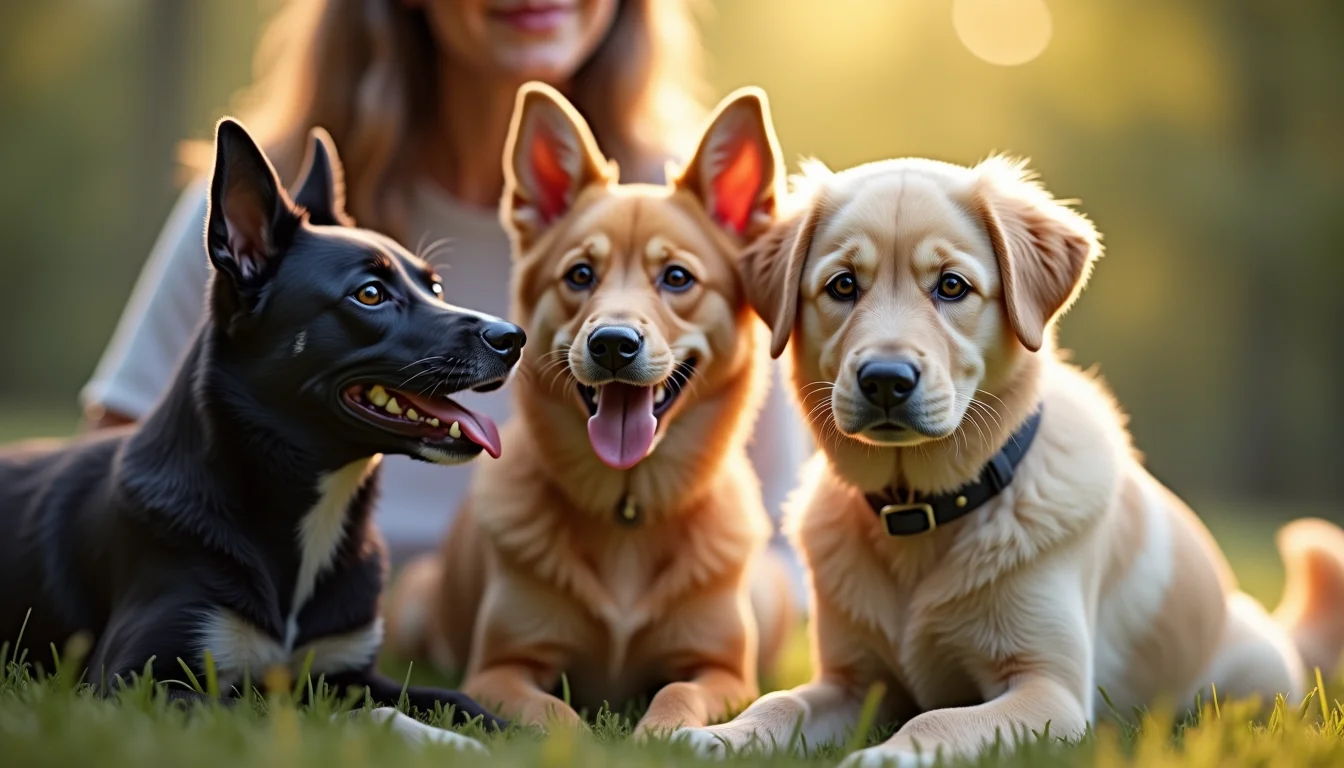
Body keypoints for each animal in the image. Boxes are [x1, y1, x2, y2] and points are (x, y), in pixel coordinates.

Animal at [0, 119, 521, 737]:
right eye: (370, 294)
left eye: (434, 288)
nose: (513, 338)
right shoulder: (137, 682)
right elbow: (333, 717)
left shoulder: (347, 670)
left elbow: (453, 698)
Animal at [384, 81, 790, 737]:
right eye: (579, 274)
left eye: (677, 277)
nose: (613, 343)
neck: (626, 511)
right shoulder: (499, 670)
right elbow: (553, 714)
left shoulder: (723, 673)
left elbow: (677, 693)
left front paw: (660, 735)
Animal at [677, 158, 1344, 768]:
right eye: (842, 286)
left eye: (952, 286)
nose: (886, 380)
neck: (921, 512)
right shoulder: (851, 681)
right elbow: (779, 701)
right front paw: (721, 737)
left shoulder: (1049, 689)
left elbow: (941, 718)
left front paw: (886, 756)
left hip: (1246, 681)